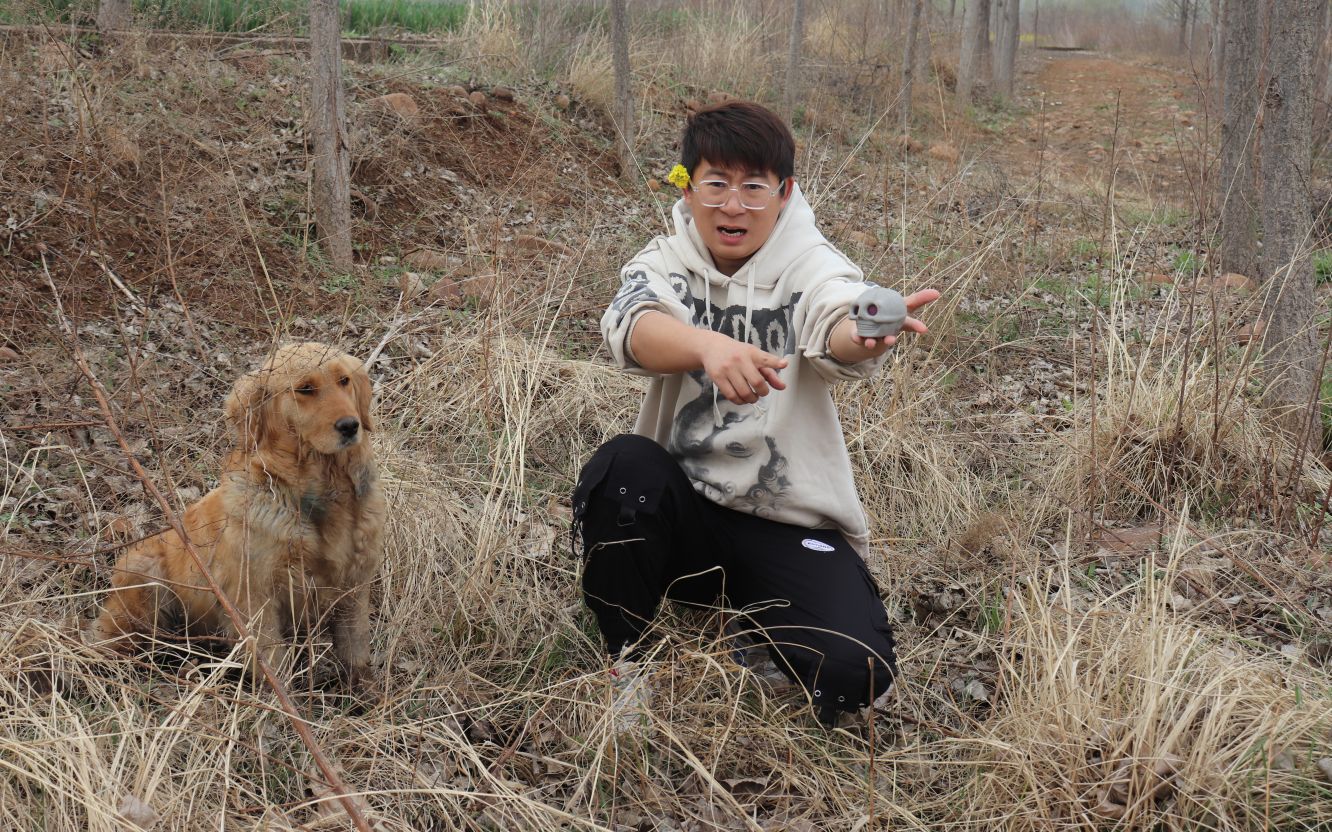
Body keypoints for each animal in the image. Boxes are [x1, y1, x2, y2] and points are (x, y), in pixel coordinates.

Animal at [91, 340, 386, 686]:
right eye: (305, 389)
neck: (317, 494)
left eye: (344, 381)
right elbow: (275, 665)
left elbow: (357, 656)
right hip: (145, 578)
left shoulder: (354, 587)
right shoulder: (255, 600)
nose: (350, 426)